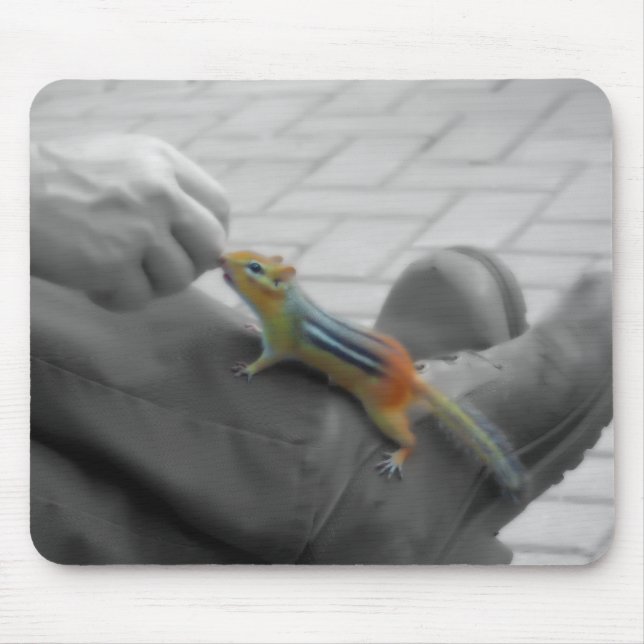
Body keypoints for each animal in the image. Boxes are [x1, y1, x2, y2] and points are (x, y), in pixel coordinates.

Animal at [220, 250, 526, 499]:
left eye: (255, 267)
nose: (222, 258)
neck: (288, 301)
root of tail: (409, 377)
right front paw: (252, 327)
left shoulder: (282, 340)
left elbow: (268, 359)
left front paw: (247, 368)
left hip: (382, 413)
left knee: (411, 439)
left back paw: (398, 457)